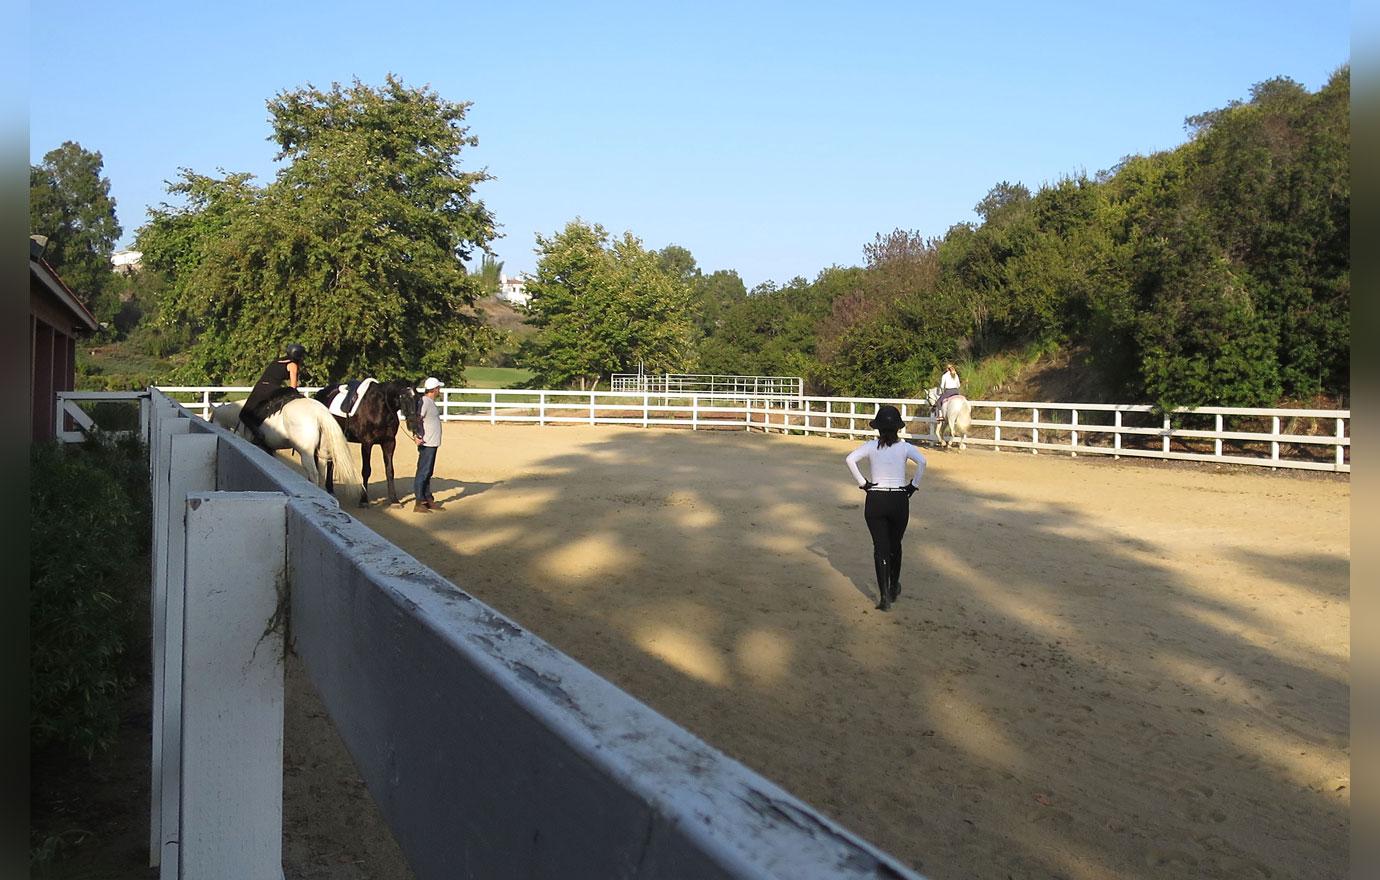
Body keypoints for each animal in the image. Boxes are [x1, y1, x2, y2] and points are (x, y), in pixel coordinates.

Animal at [313, 377, 419, 507]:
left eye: (417, 398)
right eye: (403, 397)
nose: (414, 424)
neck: (379, 407)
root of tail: (321, 394)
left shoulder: (389, 443)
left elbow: (390, 471)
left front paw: (394, 500)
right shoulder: (367, 443)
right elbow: (366, 470)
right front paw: (363, 500)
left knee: (331, 461)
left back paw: (330, 489)